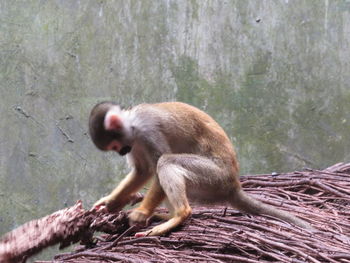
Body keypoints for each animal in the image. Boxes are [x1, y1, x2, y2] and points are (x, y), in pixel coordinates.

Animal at [89, 101, 314, 237]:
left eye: (115, 146)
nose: (121, 152)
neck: (133, 123)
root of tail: (233, 186)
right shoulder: (135, 142)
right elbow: (143, 171)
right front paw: (109, 203)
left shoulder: (148, 130)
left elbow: (157, 165)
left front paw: (141, 213)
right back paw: (170, 216)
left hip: (213, 178)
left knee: (167, 162)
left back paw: (180, 215)